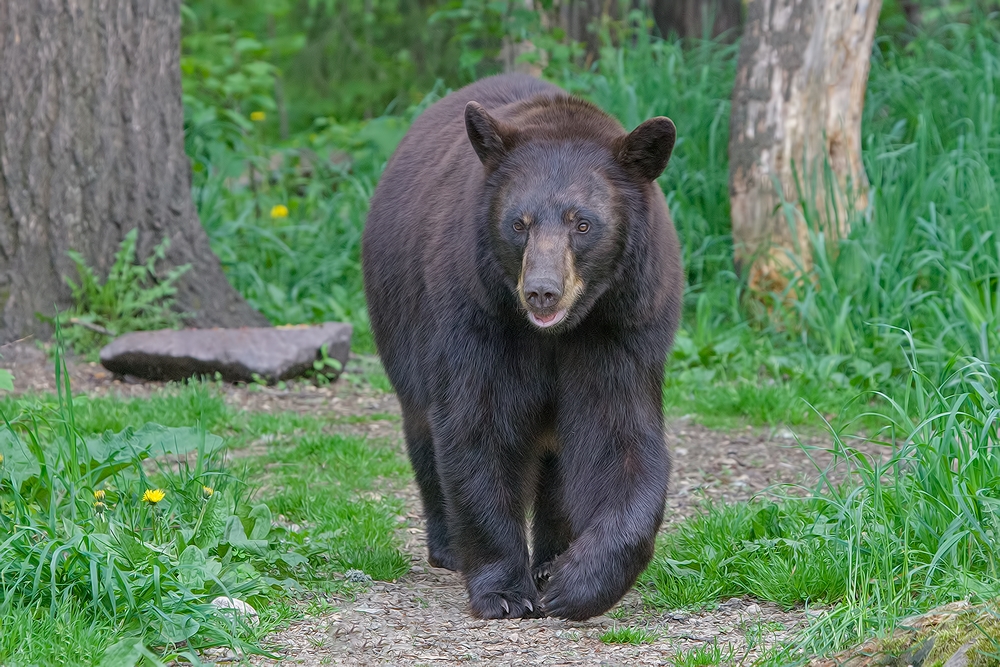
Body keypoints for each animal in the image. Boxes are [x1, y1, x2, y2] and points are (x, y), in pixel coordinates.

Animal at [364, 73, 684, 620]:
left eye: (582, 223)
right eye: (519, 222)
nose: (541, 291)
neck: (555, 333)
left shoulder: (623, 326)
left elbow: (620, 439)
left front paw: (575, 582)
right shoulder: (477, 317)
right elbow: (478, 427)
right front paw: (504, 590)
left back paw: (550, 556)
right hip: (399, 319)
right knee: (423, 427)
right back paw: (448, 546)